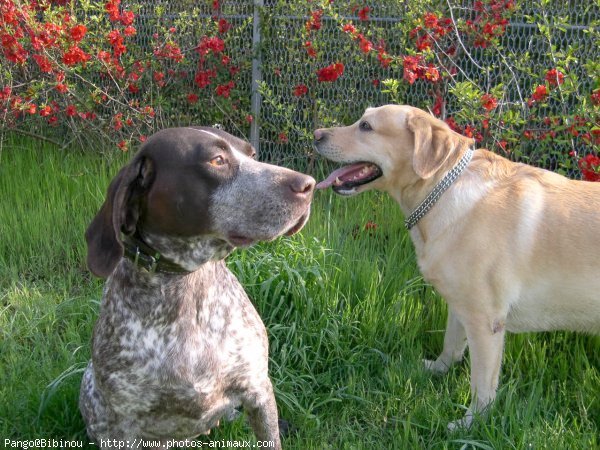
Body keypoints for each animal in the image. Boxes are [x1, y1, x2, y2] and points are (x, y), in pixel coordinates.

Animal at [79, 127, 314, 450]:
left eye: (252, 154)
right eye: (217, 161)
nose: (309, 185)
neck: (188, 286)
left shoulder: (257, 389)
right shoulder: (124, 423)